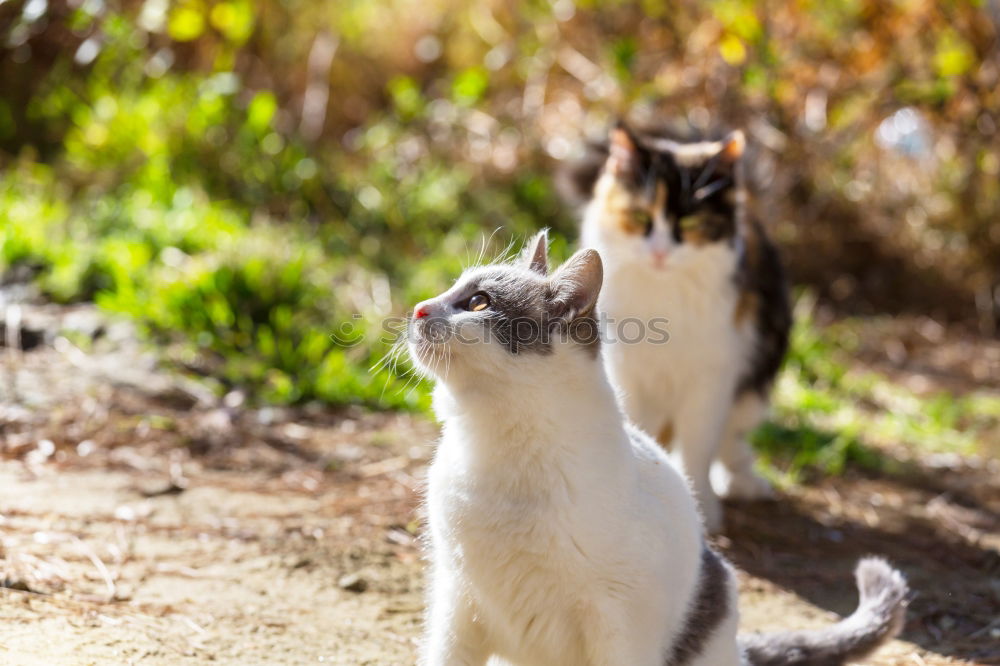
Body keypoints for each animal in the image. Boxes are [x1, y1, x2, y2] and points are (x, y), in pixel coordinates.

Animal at [406, 232, 908, 664]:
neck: (494, 444)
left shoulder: (618, 623)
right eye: (453, 289)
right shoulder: (455, 606)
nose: (417, 309)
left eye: (478, 302)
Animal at [564, 123, 788, 528]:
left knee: (732, 442)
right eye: (640, 217)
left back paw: (743, 481)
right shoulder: (628, 372)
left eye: (688, 222)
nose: (659, 252)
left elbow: (700, 447)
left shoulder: (711, 380)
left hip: (752, 388)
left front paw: (701, 507)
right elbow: (636, 428)